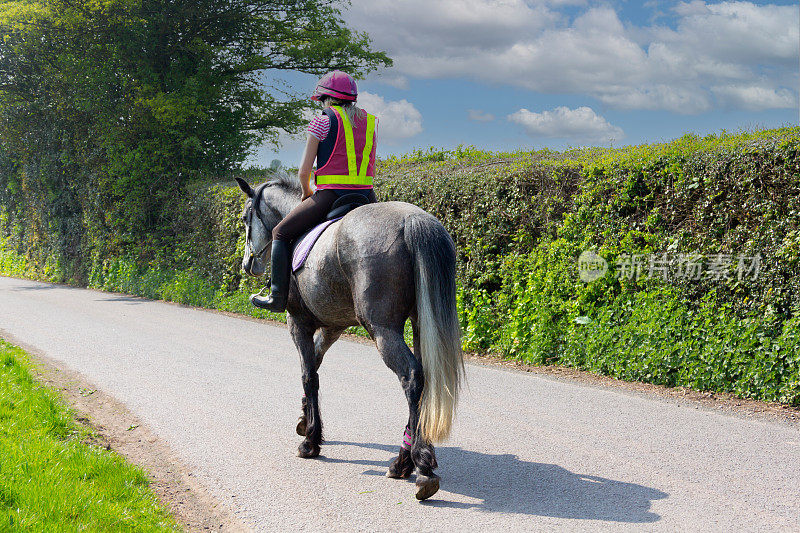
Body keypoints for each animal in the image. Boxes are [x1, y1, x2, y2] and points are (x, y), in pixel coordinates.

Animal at [234, 171, 466, 498]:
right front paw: (305, 420)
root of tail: (412, 219)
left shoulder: (298, 322)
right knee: (423, 380)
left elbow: (308, 375)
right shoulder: (332, 326)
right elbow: (314, 366)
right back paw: (408, 460)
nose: (247, 264)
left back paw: (415, 465)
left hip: (382, 330)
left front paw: (310, 442)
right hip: (421, 324)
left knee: (411, 378)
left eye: (245, 218)